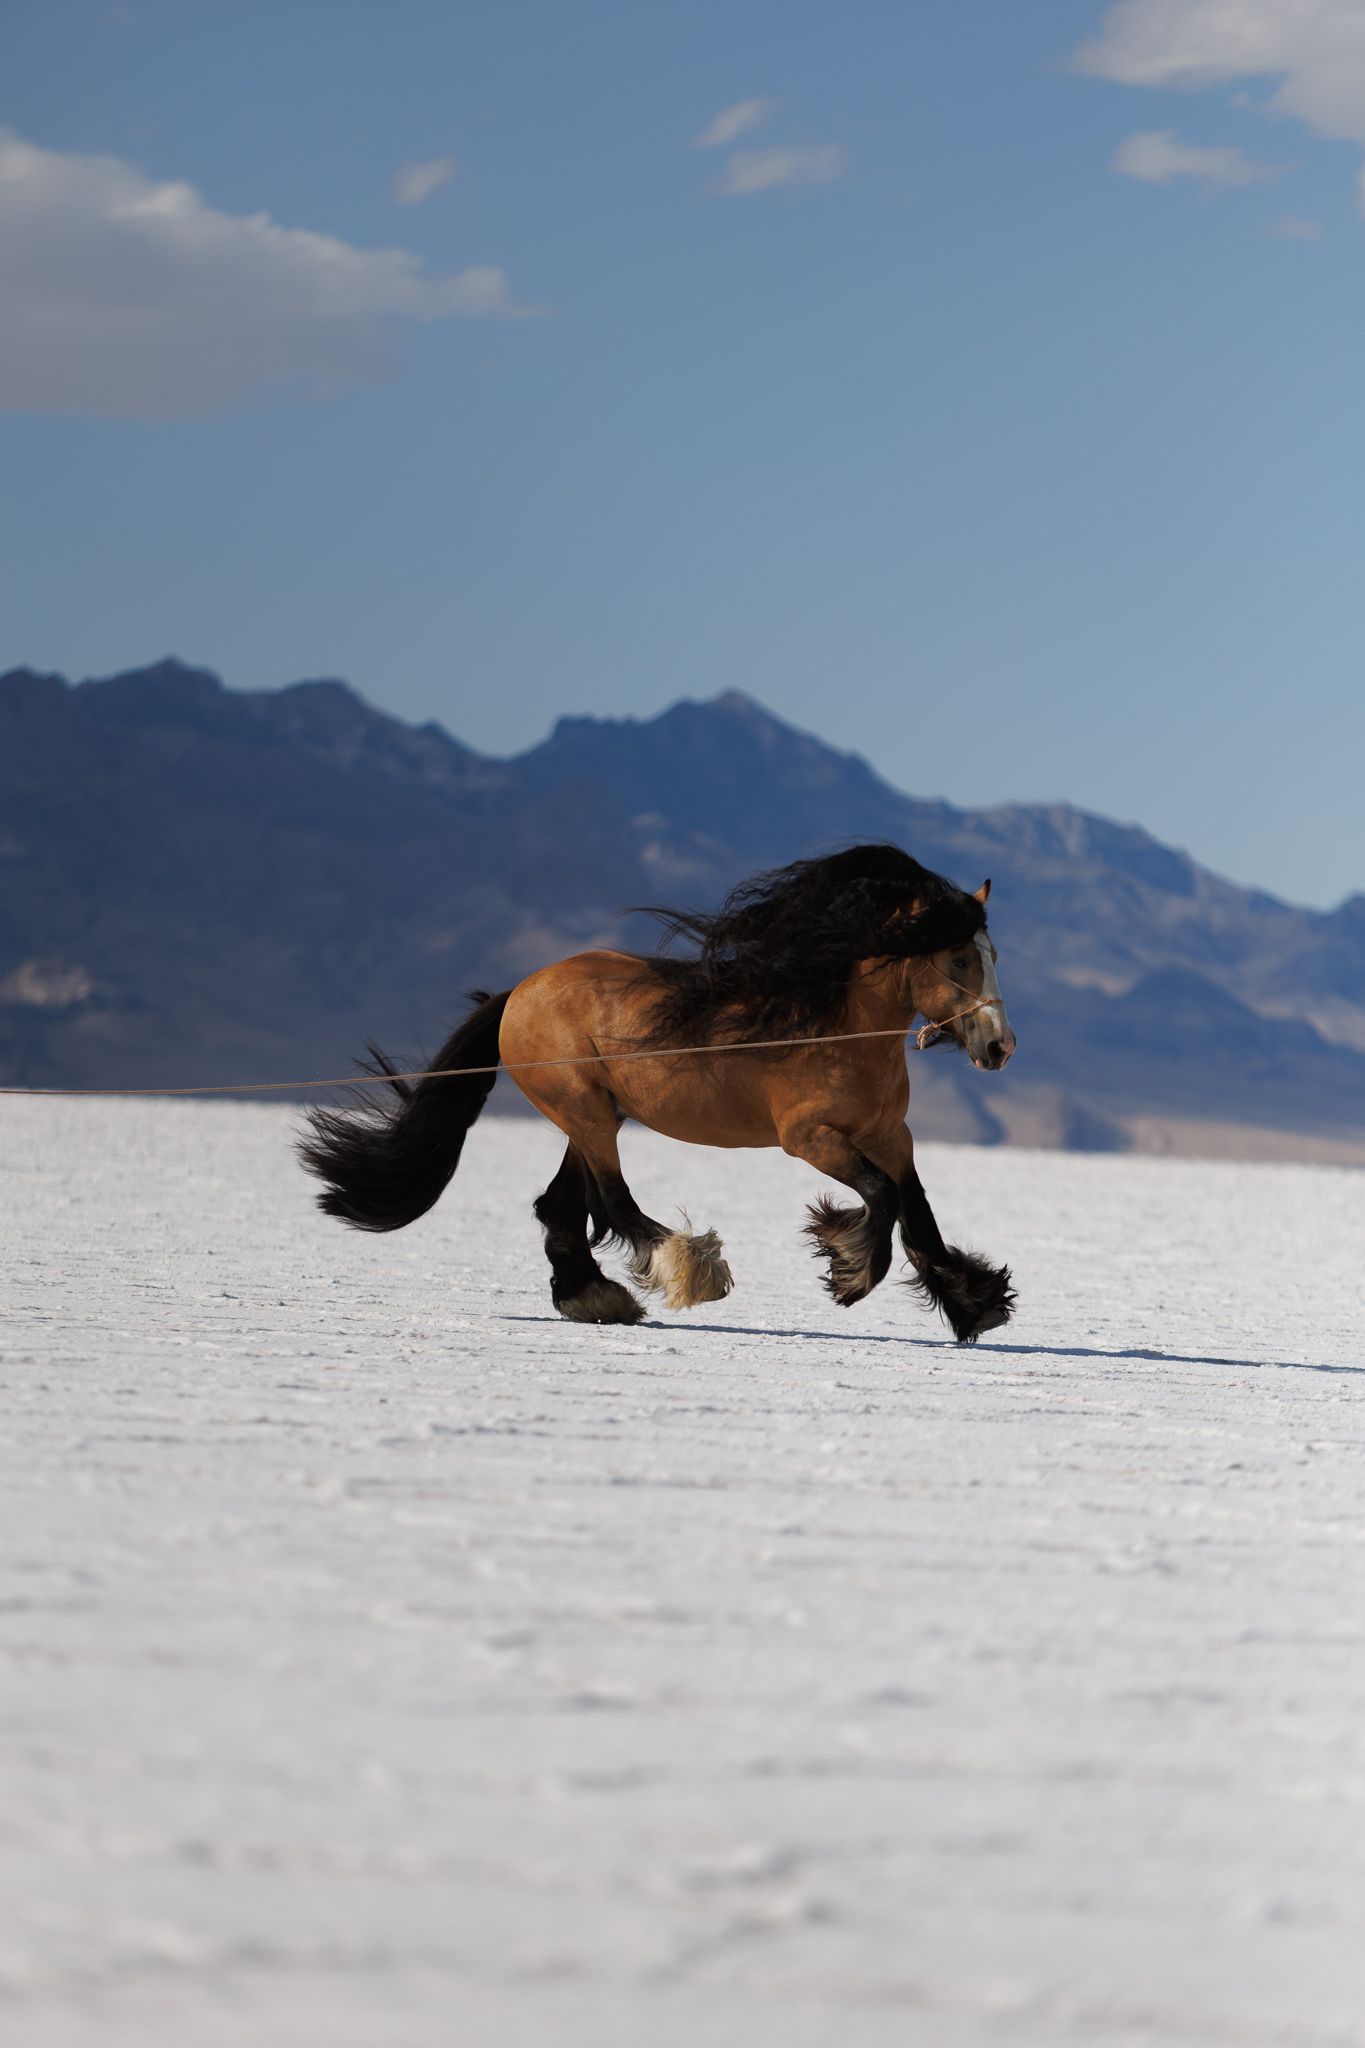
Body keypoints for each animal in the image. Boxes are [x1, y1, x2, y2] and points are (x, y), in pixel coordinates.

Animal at [299, 843, 1018, 1344]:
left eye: (992, 954)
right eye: (957, 957)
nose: (999, 1047)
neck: (837, 1026)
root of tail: (520, 991)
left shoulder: (891, 1135)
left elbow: (918, 1216)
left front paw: (975, 1305)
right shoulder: (809, 1139)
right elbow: (882, 1197)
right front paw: (850, 1274)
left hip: (594, 1114)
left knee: (562, 1203)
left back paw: (592, 1297)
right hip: (583, 1108)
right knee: (611, 1201)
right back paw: (688, 1271)